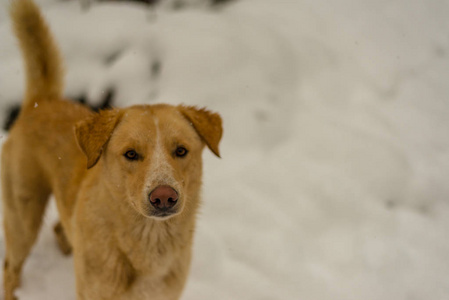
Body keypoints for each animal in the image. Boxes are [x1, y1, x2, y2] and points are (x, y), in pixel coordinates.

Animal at [1, 0, 222, 300]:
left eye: (181, 151)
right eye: (130, 154)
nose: (164, 197)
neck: (148, 244)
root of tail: (42, 102)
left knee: (60, 227)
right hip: (23, 217)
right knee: (10, 267)